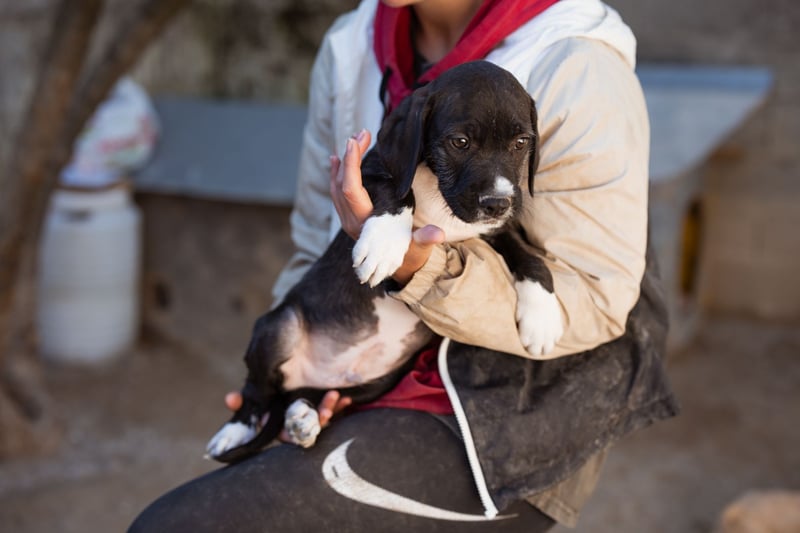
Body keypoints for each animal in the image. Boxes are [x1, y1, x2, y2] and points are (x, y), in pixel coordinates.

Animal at [206, 61, 563, 463]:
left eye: (521, 143)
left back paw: (304, 416)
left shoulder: (494, 230)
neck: (438, 190)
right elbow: (398, 189)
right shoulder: (369, 172)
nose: (497, 202)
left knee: (308, 396)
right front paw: (385, 241)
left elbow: (528, 254)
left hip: (375, 384)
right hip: (279, 327)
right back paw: (235, 430)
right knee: (257, 392)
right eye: (460, 142)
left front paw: (542, 316)